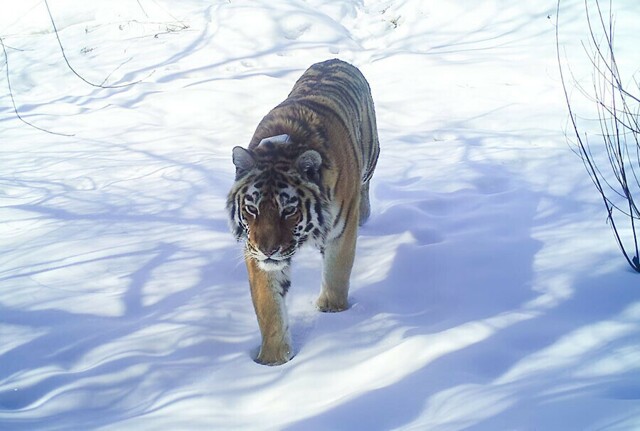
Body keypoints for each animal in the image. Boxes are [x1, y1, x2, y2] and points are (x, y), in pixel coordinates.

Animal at [228, 59, 378, 366]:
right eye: (251, 209)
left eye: (289, 210)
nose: (268, 250)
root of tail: (336, 60)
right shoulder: (254, 250)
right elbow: (268, 307)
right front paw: (273, 361)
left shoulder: (341, 232)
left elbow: (337, 272)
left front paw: (332, 311)